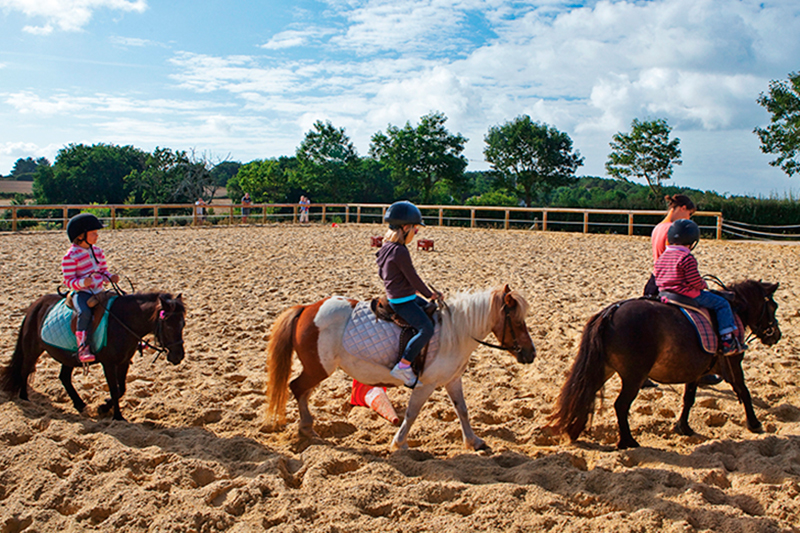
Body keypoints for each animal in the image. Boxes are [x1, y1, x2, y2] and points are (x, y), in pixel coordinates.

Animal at [0, 290, 184, 420]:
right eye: (168, 325)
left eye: (183, 324)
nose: (178, 356)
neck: (122, 322)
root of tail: (35, 305)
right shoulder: (108, 363)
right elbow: (114, 389)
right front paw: (118, 417)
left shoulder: (124, 361)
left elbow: (121, 388)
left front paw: (104, 407)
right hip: (32, 349)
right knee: (25, 371)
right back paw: (25, 398)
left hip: (67, 357)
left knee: (64, 377)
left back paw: (80, 404)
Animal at [266, 284, 536, 450]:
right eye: (518, 322)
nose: (531, 354)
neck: (454, 330)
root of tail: (306, 309)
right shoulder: (426, 384)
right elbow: (411, 414)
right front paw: (399, 443)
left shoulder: (452, 380)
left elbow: (463, 410)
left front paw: (473, 441)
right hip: (318, 368)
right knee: (297, 387)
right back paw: (306, 428)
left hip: (316, 369)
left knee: (302, 391)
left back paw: (307, 427)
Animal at [552, 278, 780, 448]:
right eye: (773, 306)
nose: (776, 335)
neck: (734, 310)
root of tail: (612, 311)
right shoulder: (733, 364)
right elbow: (743, 391)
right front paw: (754, 423)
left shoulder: (695, 372)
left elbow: (689, 399)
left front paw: (683, 427)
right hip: (633, 377)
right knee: (620, 405)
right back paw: (627, 441)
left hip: (603, 370)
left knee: (584, 394)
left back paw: (574, 431)